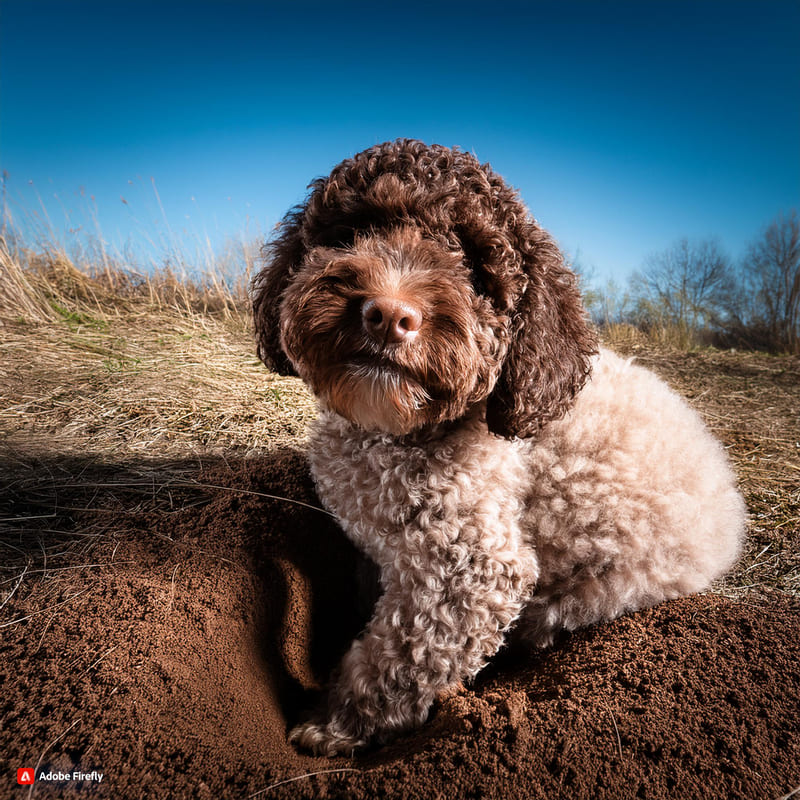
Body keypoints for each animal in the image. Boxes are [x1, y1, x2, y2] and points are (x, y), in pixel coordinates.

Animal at [248, 139, 744, 756]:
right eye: (354, 231)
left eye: (476, 267)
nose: (389, 314)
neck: (397, 432)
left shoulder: (471, 569)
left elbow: (399, 657)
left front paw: (337, 725)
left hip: (592, 596)